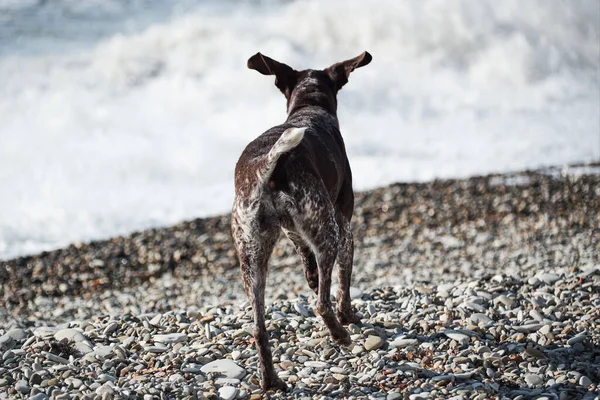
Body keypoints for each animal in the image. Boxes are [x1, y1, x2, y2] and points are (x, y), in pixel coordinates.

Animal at [231, 51, 368, 392]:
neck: (309, 108)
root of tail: (268, 165)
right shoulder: (344, 225)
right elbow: (343, 284)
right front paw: (348, 316)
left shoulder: (292, 230)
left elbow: (307, 259)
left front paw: (312, 277)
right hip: (329, 232)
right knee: (321, 304)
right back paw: (340, 335)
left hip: (252, 258)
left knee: (259, 328)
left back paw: (271, 380)